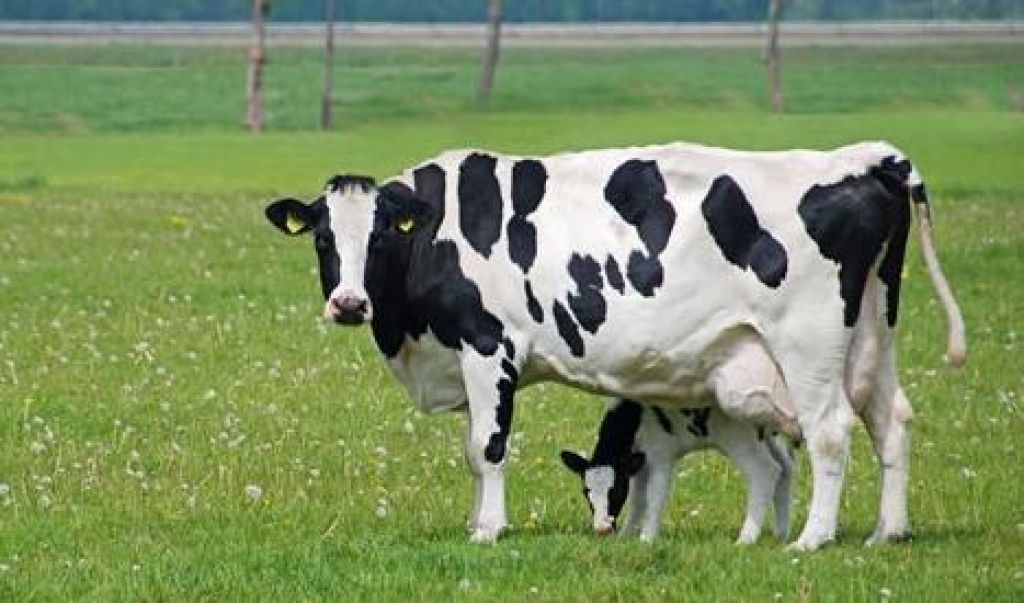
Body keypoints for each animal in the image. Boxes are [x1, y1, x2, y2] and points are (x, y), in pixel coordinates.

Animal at [560, 398, 794, 544]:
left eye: (615, 491)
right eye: (585, 492)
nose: (602, 529)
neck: (635, 415)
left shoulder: (661, 455)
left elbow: (654, 496)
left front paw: (647, 539)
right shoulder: (639, 462)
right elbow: (638, 500)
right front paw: (625, 537)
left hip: (738, 438)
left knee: (765, 471)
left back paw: (746, 539)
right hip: (771, 436)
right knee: (786, 467)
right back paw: (780, 534)